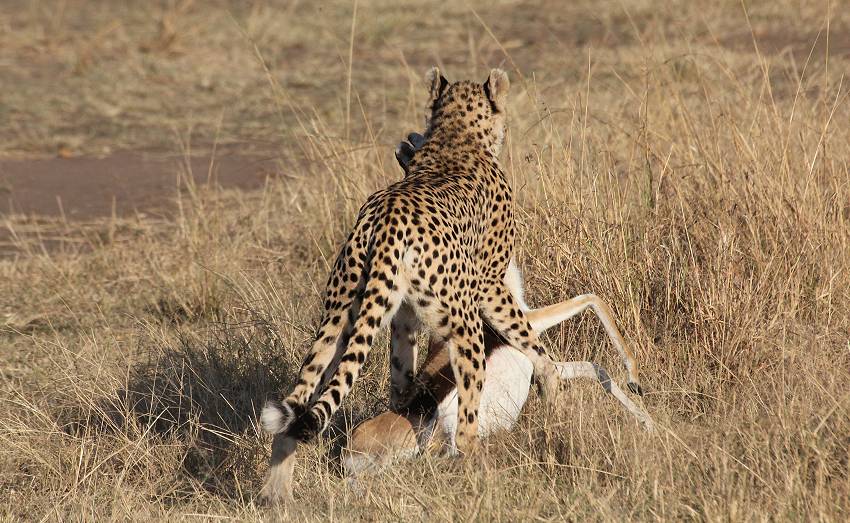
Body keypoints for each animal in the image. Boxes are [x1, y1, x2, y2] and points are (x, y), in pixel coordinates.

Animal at [258, 67, 564, 502]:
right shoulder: (490, 285)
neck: (455, 136)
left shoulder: (402, 317)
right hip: (464, 324)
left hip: (338, 319)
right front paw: (555, 395)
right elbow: (535, 345)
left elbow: (403, 386)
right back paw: (483, 474)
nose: (406, 141)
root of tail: (385, 221)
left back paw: (277, 493)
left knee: (299, 399)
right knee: (466, 426)